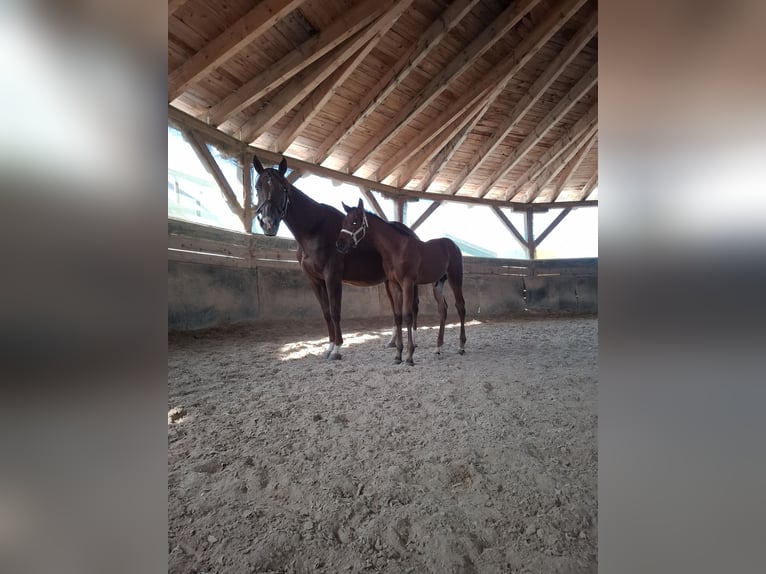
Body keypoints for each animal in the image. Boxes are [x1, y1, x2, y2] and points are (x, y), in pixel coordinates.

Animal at [252, 156, 419, 359]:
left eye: (283, 187)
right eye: (258, 186)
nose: (268, 223)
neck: (314, 229)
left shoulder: (332, 276)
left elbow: (334, 311)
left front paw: (337, 349)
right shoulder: (314, 280)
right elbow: (325, 313)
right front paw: (330, 346)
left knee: (413, 307)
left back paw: (414, 341)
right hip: (389, 282)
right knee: (396, 308)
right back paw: (393, 341)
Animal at [336, 198, 466, 365]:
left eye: (354, 221)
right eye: (344, 221)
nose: (340, 244)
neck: (396, 249)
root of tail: (453, 245)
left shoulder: (408, 283)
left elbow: (408, 315)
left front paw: (410, 356)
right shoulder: (394, 285)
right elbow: (398, 316)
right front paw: (398, 355)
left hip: (455, 277)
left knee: (460, 306)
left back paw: (461, 346)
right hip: (438, 283)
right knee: (442, 309)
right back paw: (438, 348)